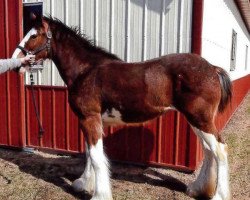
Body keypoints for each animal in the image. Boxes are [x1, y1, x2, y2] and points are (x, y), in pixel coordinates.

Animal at [12, 15, 232, 200]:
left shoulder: (89, 118)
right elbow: (89, 154)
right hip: (197, 120)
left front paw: (99, 195)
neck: (86, 71)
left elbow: (96, 157)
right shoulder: (89, 120)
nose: (16, 62)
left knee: (220, 150)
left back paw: (218, 195)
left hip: (200, 119)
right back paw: (197, 188)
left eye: (33, 35)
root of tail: (212, 68)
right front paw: (83, 184)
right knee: (209, 151)